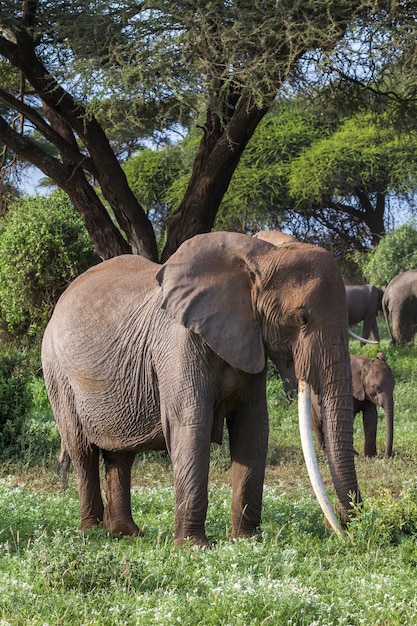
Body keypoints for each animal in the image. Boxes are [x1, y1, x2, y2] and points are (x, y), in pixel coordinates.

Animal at [43, 232, 360, 544]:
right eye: (302, 319)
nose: (343, 525)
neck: (259, 253)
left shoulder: (249, 338)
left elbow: (253, 427)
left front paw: (245, 541)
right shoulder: (177, 344)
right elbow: (192, 424)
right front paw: (194, 547)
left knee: (120, 454)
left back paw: (126, 533)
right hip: (57, 371)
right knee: (82, 449)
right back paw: (92, 533)